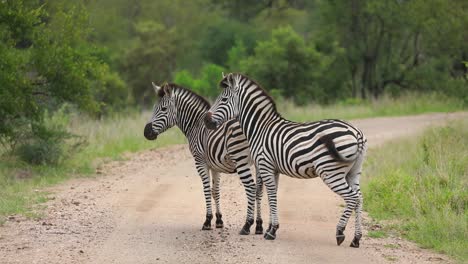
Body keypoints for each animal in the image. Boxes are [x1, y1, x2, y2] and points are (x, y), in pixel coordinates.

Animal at [143, 83, 266, 235]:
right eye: (154, 107)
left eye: (164, 109)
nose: (146, 132)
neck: (195, 125)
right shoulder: (215, 166)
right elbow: (215, 191)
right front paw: (219, 221)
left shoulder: (200, 162)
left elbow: (206, 189)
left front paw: (207, 221)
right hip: (257, 161)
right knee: (259, 190)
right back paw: (259, 226)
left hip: (241, 159)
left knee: (251, 187)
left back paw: (247, 225)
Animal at [205, 72, 370, 248]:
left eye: (223, 100)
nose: (206, 121)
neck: (260, 128)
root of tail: (356, 132)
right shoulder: (273, 169)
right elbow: (272, 195)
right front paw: (270, 228)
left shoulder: (265, 165)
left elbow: (271, 195)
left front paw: (271, 231)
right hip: (353, 172)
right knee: (359, 197)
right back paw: (356, 239)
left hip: (331, 172)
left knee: (352, 197)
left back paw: (340, 232)